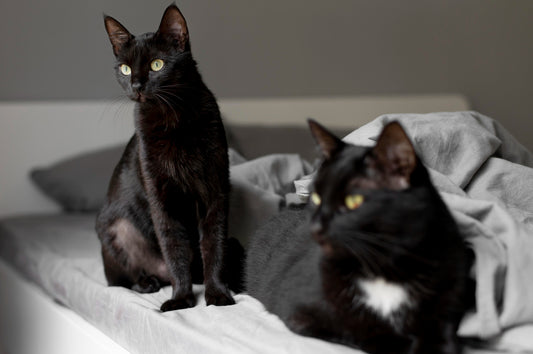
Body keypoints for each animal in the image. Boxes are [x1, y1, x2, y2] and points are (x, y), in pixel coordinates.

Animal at [96, 4, 243, 312]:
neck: (171, 117)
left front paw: (217, 294)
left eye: (157, 65)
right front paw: (180, 299)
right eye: (125, 69)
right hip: (115, 229)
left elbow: (214, 247)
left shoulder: (214, 193)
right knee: (121, 280)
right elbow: (174, 248)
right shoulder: (161, 200)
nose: (137, 85)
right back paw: (148, 282)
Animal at [245, 119, 470, 354]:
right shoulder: (298, 313)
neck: (384, 269)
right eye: (316, 197)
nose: (314, 226)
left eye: (353, 201)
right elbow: (357, 330)